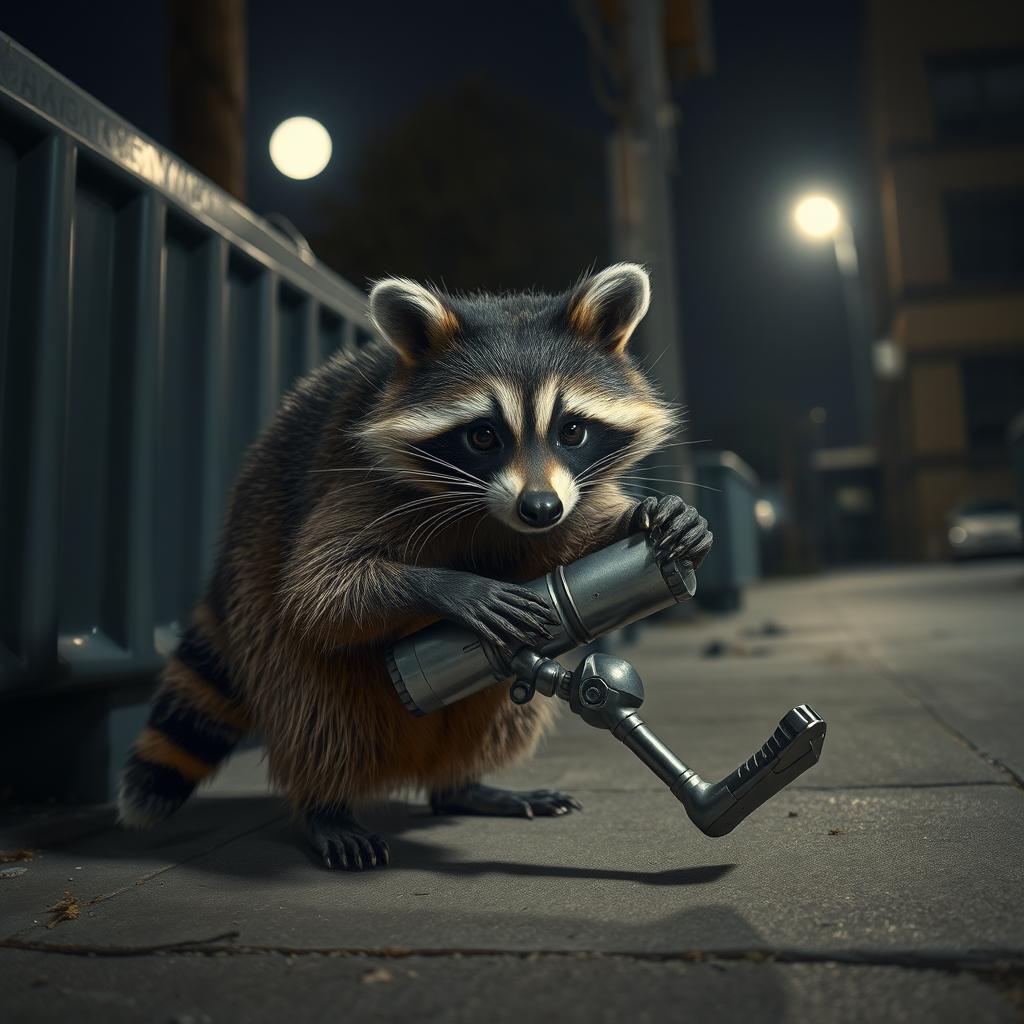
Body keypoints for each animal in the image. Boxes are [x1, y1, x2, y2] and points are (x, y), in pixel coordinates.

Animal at [117, 263, 713, 870]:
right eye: (483, 435)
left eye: (572, 430)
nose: (540, 508)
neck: (489, 510)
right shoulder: (358, 477)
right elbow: (320, 586)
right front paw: (451, 587)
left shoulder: (556, 506)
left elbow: (564, 541)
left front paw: (643, 515)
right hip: (258, 590)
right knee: (314, 705)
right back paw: (324, 805)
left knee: (497, 716)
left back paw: (462, 784)